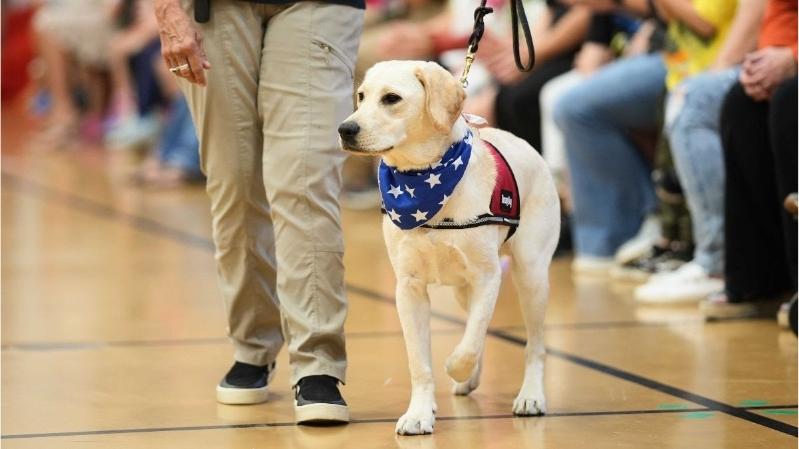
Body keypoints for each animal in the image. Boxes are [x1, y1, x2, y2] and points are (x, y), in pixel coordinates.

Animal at [340, 60, 560, 434]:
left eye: (391, 98)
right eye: (361, 96)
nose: (345, 129)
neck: (422, 180)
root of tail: (525, 144)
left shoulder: (488, 277)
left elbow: (469, 345)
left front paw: (456, 367)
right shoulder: (409, 288)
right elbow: (420, 362)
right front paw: (419, 413)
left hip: (531, 275)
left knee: (534, 344)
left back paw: (531, 395)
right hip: (461, 288)